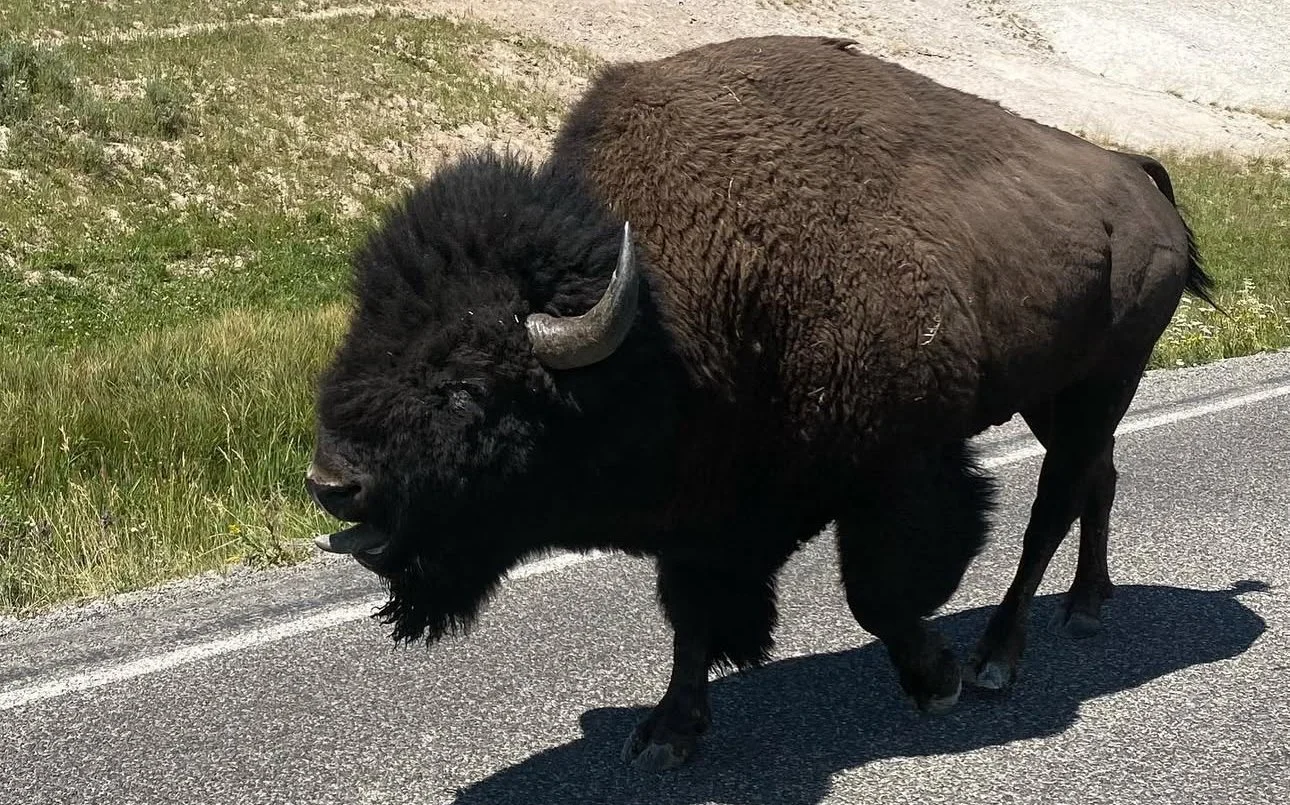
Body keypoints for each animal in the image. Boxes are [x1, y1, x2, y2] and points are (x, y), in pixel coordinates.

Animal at [305, 36, 1215, 771]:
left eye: (467, 389)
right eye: (362, 338)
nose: (332, 482)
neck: (659, 324)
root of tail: (1137, 176)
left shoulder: (897, 469)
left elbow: (877, 592)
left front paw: (938, 679)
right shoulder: (705, 512)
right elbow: (692, 616)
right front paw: (667, 733)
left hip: (1108, 376)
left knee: (1052, 506)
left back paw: (999, 655)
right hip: (1059, 394)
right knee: (1097, 479)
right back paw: (1087, 607)